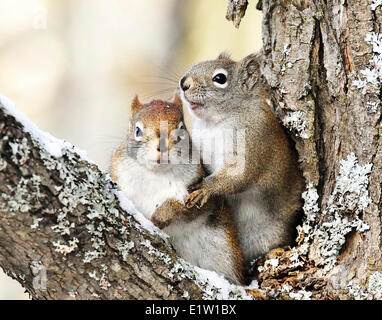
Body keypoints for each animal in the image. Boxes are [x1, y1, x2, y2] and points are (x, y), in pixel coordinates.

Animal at [109, 95, 245, 284]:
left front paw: (160, 216)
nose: (163, 147)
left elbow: (190, 209)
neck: (156, 174)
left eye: (181, 129)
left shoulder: (201, 192)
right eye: (137, 130)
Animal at [179, 52, 304, 266]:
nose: (184, 83)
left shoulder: (253, 142)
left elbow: (240, 177)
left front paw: (205, 188)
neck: (215, 122)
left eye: (220, 78)